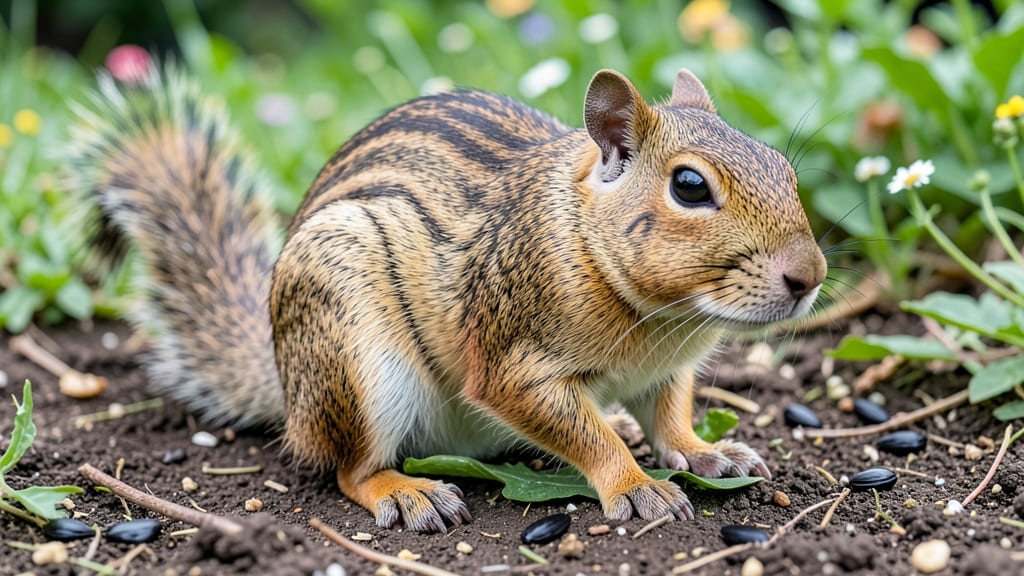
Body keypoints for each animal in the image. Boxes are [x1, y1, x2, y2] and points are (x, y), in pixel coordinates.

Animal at [70, 65, 827, 533]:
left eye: (786, 169)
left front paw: (706, 452)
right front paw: (635, 484)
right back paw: (405, 493)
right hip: (353, 357)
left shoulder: (667, 373)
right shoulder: (512, 358)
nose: (811, 275)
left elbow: (669, 420)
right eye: (690, 187)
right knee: (350, 469)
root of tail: (288, 393)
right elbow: (586, 432)